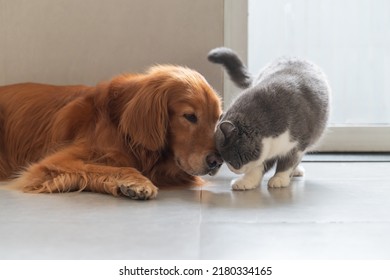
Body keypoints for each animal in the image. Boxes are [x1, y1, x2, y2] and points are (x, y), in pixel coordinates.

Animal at [0, 65, 222, 199]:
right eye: (190, 116)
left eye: (217, 118)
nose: (216, 161)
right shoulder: (53, 163)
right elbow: (116, 167)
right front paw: (137, 183)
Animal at [207, 47, 330, 189]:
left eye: (230, 159)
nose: (233, 170)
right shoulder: (267, 150)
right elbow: (258, 167)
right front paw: (246, 181)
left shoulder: (297, 145)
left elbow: (288, 163)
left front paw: (279, 178)